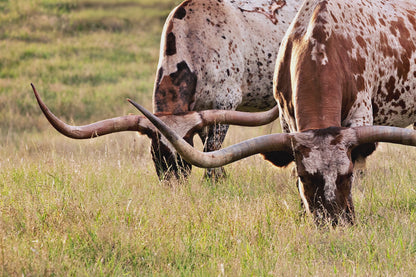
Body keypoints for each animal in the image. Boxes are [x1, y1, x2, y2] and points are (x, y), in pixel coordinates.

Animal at [30, 0, 302, 179]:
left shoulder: (225, 104)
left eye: (181, 152)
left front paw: (214, 180)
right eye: (157, 151)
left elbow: (212, 149)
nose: (174, 181)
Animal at [129, 0, 416, 223]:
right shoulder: (285, 119)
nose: (172, 184)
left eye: (348, 175)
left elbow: (212, 149)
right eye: (156, 153)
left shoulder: (225, 102)